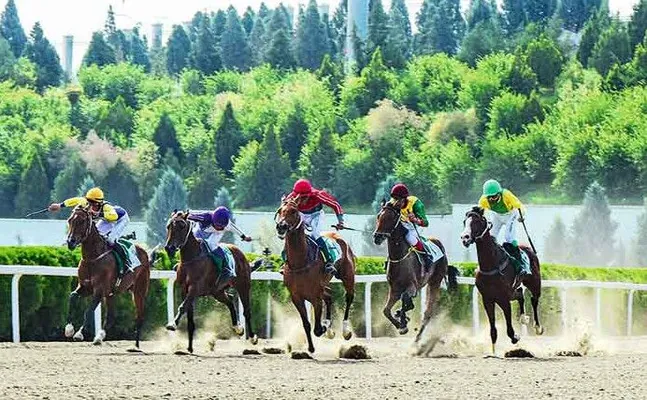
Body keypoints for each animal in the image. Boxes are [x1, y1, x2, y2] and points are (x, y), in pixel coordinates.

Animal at [65, 205, 153, 348]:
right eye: (70, 220)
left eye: (82, 221)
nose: (70, 242)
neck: (93, 258)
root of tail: (145, 251)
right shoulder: (85, 286)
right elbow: (72, 296)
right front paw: (69, 329)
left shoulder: (99, 291)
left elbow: (89, 311)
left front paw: (79, 334)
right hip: (111, 293)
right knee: (111, 317)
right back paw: (99, 337)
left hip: (139, 291)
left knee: (139, 316)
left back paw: (135, 345)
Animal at [165, 209, 258, 354]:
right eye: (168, 226)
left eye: (182, 226)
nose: (169, 248)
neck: (192, 258)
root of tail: (241, 254)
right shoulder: (184, 289)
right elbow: (189, 316)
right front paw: (189, 347)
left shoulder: (194, 288)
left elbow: (182, 307)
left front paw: (172, 325)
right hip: (217, 291)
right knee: (230, 301)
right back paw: (238, 328)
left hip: (243, 285)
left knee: (247, 311)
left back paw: (252, 337)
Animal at [274, 199, 354, 354]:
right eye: (280, 210)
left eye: (293, 211)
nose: (281, 226)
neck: (300, 262)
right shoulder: (297, 297)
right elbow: (306, 324)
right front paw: (311, 347)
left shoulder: (315, 297)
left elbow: (317, 329)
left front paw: (325, 328)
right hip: (323, 286)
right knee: (329, 296)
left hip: (348, 276)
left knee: (349, 297)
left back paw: (345, 330)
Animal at [372, 200, 458, 344]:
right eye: (379, 216)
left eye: (391, 218)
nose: (377, 237)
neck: (399, 258)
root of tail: (439, 244)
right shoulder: (394, 289)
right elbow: (386, 310)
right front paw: (400, 323)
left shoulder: (412, 286)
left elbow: (406, 300)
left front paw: (403, 320)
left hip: (434, 282)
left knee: (428, 311)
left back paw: (418, 337)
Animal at [460, 206, 548, 354]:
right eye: (464, 221)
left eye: (477, 221)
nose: (464, 238)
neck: (491, 264)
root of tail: (529, 248)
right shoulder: (487, 299)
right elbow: (493, 331)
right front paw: (493, 352)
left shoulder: (503, 298)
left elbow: (509, 329)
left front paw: (515, 337)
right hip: (514, 291)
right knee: (520, 296)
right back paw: (523, 318)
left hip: (535, 283)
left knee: (534, 300)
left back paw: (537, 327)